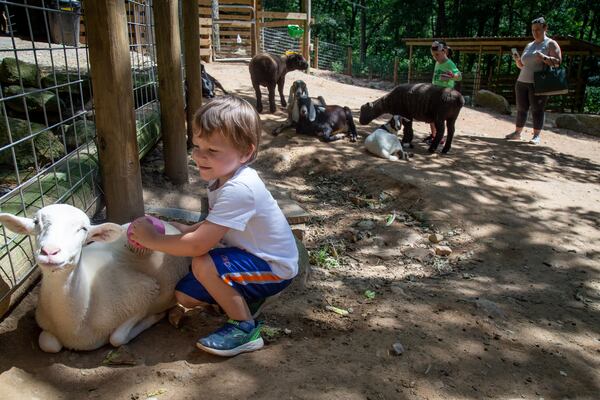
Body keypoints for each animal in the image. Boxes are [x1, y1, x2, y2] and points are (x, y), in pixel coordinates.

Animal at [0, 205, 190, 352]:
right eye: (36, 222)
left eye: (83, 228)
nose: (49, 252)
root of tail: (169, 224)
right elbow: (48, 344)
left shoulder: (144, 294)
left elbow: (117, 338)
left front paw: (154, 317)